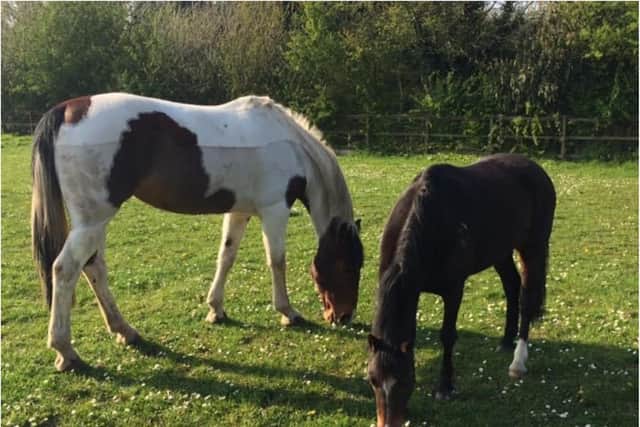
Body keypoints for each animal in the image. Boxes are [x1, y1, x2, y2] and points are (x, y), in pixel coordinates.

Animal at [31, 93, 364, 372]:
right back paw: (66, 351)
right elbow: (277, 261)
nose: (343, 316)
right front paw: (288, 313)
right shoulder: (275, 210)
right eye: (349, 266)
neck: (290, 145)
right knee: (65, 269)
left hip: (94, 222)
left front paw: (216, 309)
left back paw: (124, 331)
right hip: (93, 221)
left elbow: (226, 257)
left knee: (94, 268)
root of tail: (67, 109)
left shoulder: (239, 211)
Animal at [366, 154, 556, 426]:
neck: (428, 219)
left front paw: (445, 387)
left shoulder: (453, 290)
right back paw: (506, 341)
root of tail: (535, 167)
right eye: (372, 380)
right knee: (511, 287)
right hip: (500, 252)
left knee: (527, 299)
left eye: (405, 380)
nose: (390, 423)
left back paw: (518, 361)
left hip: (533, 248)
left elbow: (447, 336)